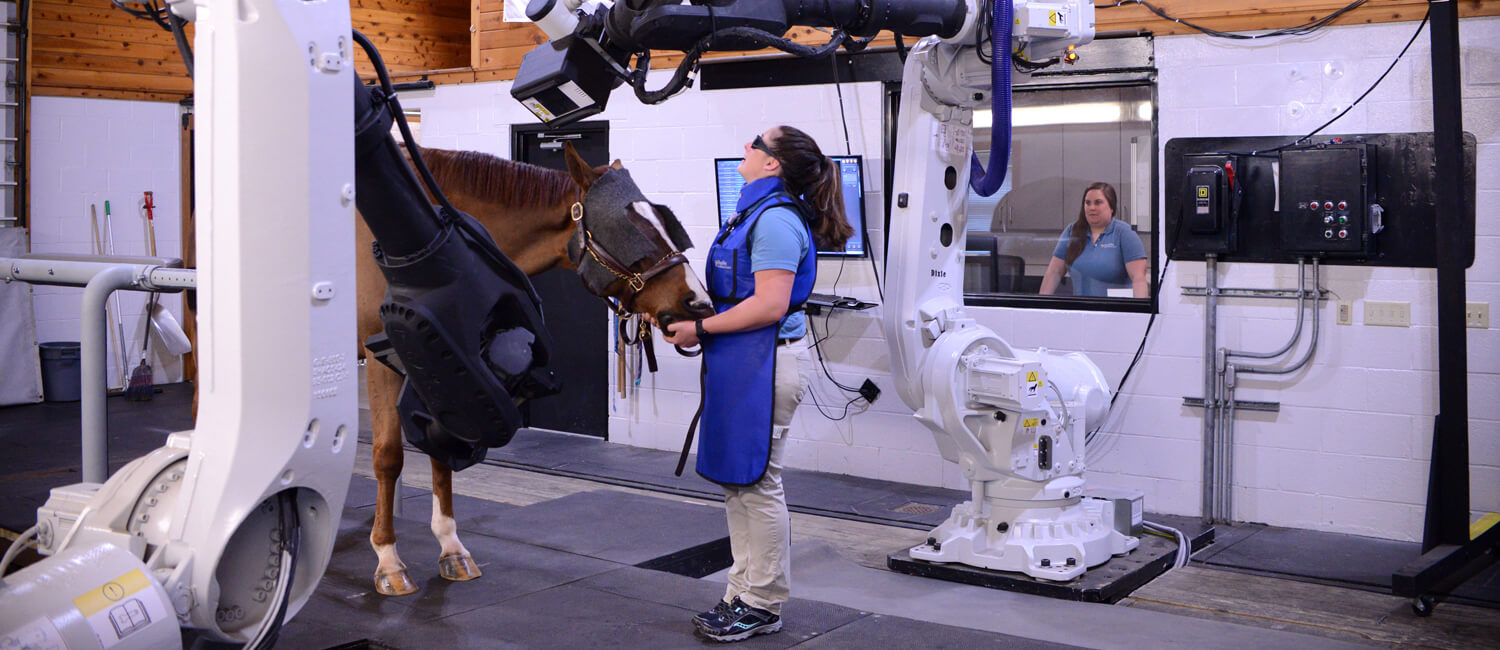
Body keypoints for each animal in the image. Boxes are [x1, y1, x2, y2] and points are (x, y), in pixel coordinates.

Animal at [360, 141, 717, 591]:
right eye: (634, 232)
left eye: (662, 221)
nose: (699, 303)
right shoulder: (385, 358)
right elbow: (388, 456)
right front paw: (388, 559)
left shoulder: (435, 359)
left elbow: (441, 450)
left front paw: (451, 548)